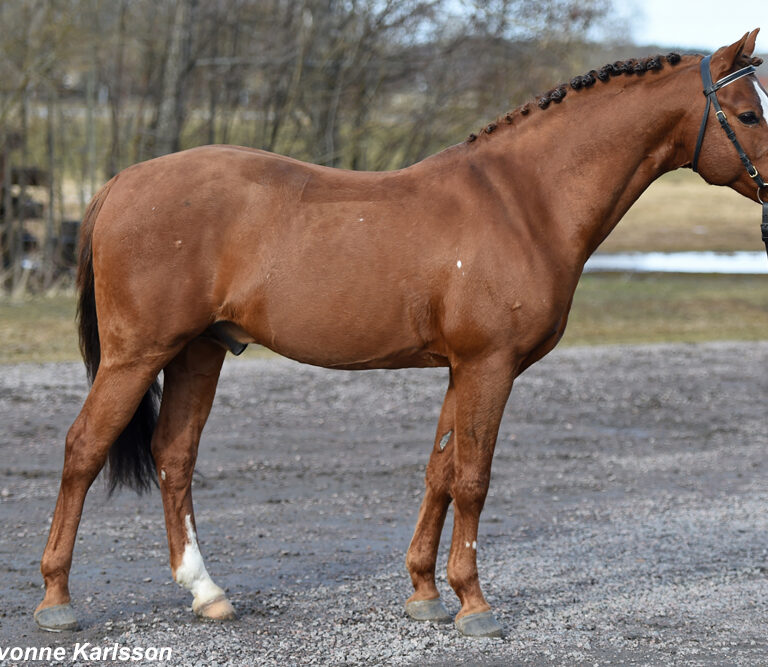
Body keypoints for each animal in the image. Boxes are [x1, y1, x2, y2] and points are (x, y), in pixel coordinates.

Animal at [34, 31, 768, 636]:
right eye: (750, 114)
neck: (524, 201)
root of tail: (122, 181)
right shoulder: (488, 365)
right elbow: (473, 477)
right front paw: (474, 605)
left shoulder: (461, 368)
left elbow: (439, 471)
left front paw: (425, 593)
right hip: (137, 355)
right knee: (83, 449)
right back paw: (57, 600)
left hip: (198, 352)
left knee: (174, 455)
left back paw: (206, 592)